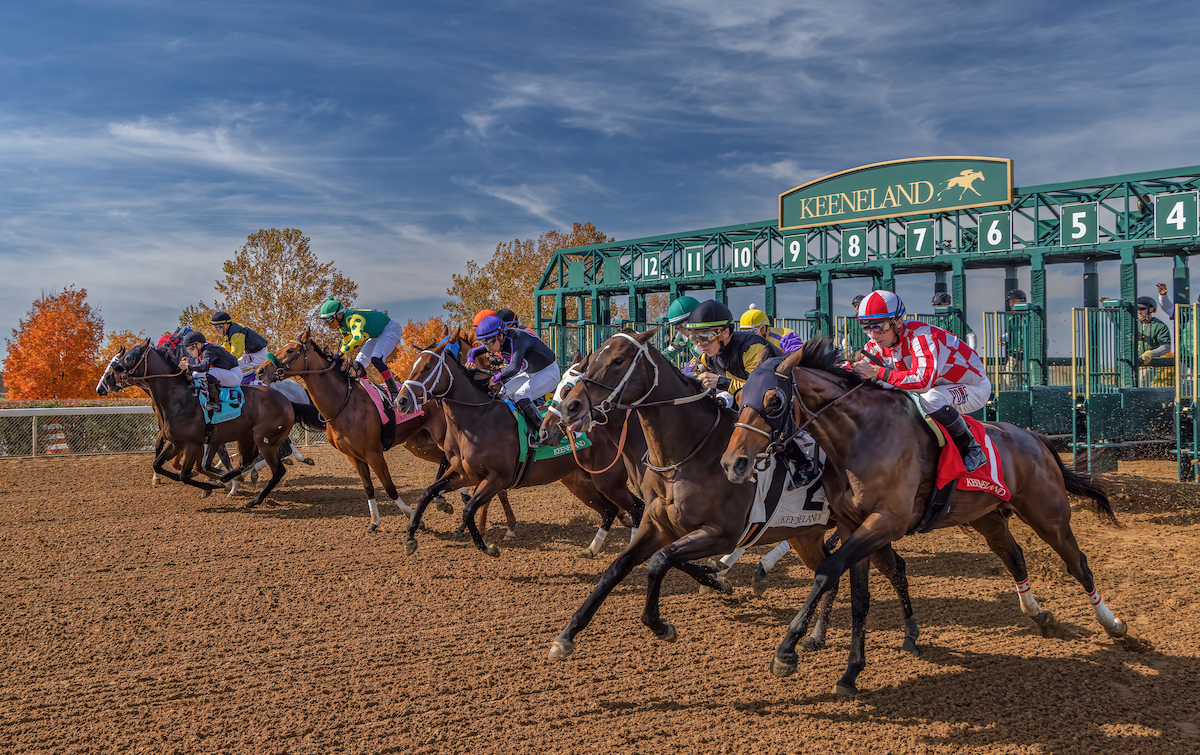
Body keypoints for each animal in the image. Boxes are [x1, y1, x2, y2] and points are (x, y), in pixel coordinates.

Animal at [106, 340, 297, 506]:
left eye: (129, 358)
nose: (108, 377)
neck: (179, 399)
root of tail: (287, 402)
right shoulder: (176, 443)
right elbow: (159, 465)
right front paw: (212, 482)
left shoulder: (192, 444)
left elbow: (184, 475)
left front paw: (208, 485)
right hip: (246, 438)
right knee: (245, 463)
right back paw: (228, 479)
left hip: (265, 441)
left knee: (278, 470)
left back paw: (254, 499)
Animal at [396, 326, 643, 556]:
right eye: (414, 365)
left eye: (428, 367)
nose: (401, 400)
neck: (477, 417)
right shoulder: (463, 473)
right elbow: (427, 493)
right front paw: (410, 537)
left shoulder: (496, 478)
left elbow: (469, 510)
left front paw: (486, 545)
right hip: (581, 481)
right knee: (610, 510)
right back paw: (593, 548)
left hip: (608, 480)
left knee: (637, 507)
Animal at [540, 328, 912, 657]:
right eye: (590, 363)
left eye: (617, 360)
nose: (570, 409)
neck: (687, 454)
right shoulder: (657, 525)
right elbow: (616, 568)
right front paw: (567, 635)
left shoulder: (721, 533)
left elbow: (660, 562)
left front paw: (663, 622)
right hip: (805, 533)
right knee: (831, 574)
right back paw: (816, 635)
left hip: (871, 524)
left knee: (894, 567)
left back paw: (910, 635)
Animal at [720, 336, 1132, 696]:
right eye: (739, 397)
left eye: (774, 401)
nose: (733, 463)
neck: (860, 437)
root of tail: (1035, 439)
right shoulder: (854, 525)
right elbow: (858, 596)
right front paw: (851, 673)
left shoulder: (886, 522)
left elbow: (827, 571)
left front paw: (787, 650)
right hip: (987, 518)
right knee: (1014, 556)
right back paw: (1038, 613)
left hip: (1049, 515)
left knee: (1079, 564)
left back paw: (1112, 623)